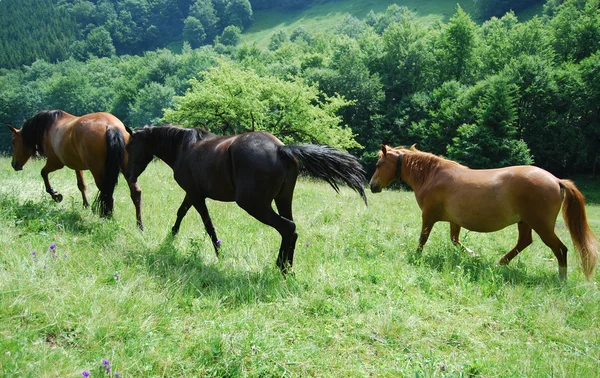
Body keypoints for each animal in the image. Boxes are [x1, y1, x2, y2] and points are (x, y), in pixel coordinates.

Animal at [7, 108, 144, 229]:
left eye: (13, 142)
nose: (14, 164)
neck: (49, 125)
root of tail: (111, 126)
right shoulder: (77, 166)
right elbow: (81, 185)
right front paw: (85, 205)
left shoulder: (55, 163)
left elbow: (43, 173)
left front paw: (55, 195)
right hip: (127, 170)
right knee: (135, 193)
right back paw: (139, 225)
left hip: (98, 172)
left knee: (107, 194)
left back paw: (106, 217)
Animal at [125, 125, 368, 274]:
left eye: (129, 146)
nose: (129, 175)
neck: (184, 147)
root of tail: (281, 149)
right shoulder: (193, 194)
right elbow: (182, 213)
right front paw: (171, 238)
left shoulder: (195, 195)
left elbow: (206, 224)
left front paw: (218, 252)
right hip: (283, 200)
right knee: (292, 229)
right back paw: (288, 268)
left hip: (255, 205)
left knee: (287, 227)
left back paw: (280, 267)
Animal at [368, 145, 596, 280]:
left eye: (378, 164)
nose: (372, 186)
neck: (431, 176)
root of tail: (556, 180)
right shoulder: (454, 220)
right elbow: (455, 241)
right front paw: (473, 254)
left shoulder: (428, 216)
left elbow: (423, 239)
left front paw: (416, 256)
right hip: (525, 222)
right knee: (524, 243)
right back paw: (499, 263)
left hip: (542, 226)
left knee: (560, 249)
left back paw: (561, 278)